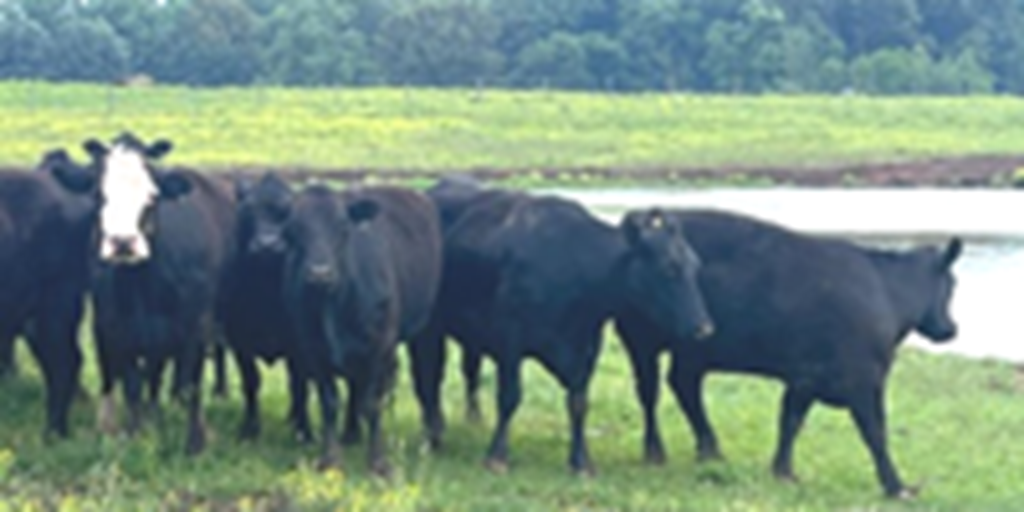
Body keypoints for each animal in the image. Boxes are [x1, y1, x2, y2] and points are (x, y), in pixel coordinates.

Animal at [51, 133, 236, 455]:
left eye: (152, 197)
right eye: (99, 196)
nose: (123, 242)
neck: (144, 285)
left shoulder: (196, 327)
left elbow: (191, 385)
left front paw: (195, 444)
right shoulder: (117, 328)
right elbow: (132, 386)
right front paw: (135, 435)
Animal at [270, 182, 442, 474]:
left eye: (343, 227)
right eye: (291, 230)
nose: (319, 273)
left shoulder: (379, 347)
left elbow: (372, 404)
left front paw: (378, 462)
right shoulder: (312, 349)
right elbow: (329, 402)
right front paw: (330, 459)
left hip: (418, 334)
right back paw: (350, 433)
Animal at [410, 184, 713, 475]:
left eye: (695, 266)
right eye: (669, 269)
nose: (704, 328)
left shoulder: (587, 346)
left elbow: (578, 403)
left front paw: (581, 461)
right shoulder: (509, 338)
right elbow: (510, 396)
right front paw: (497, 456)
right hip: (428, 332)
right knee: (428, 378)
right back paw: (431, 434)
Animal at [614, 209, 962, 498]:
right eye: (952, 284)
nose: (951, 329)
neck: (888, 293)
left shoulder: (807, 377)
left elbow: (790, 421)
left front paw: (783, 471)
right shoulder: (861, 380)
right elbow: (875, 433)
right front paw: (896, 486)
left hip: (693, 349)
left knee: (684, 384)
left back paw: (710, 449)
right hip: (640, 340)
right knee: (650, 392)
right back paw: (656, 451)